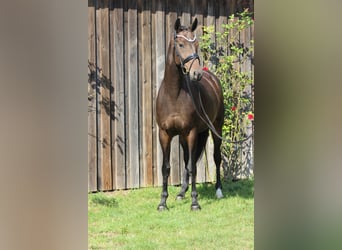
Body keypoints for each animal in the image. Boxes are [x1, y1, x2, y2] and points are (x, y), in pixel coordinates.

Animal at [156, 17, 224, 211]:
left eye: (197, 44)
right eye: (180, 44)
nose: (197, 74)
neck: (174, 95)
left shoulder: (192, 133)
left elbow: (193, 167)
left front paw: (195, 202)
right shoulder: (164, 134)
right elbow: (166, 168)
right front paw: (163, 202)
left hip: (216, 129)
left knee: (216, 158)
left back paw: (218, 191)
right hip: (183, 137)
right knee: (186, 160)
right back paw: (181, 193)